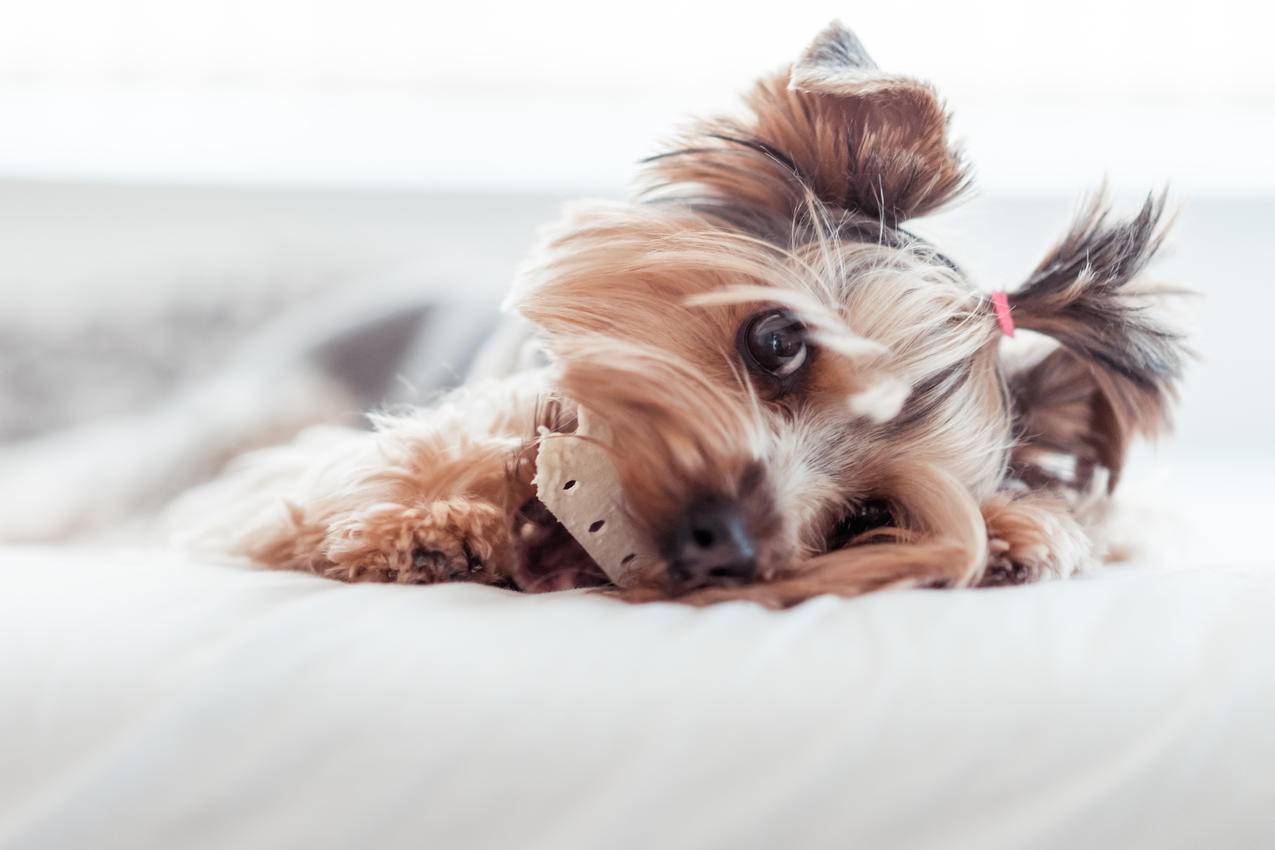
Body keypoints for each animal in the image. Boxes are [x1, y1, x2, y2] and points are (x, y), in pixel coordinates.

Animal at [169, 23, 1183, 609]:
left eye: (869, 519)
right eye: (777, 340)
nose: (721, 543)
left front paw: (1022, 532)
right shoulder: (258, 492)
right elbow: (355, 477)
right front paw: (421, 524)